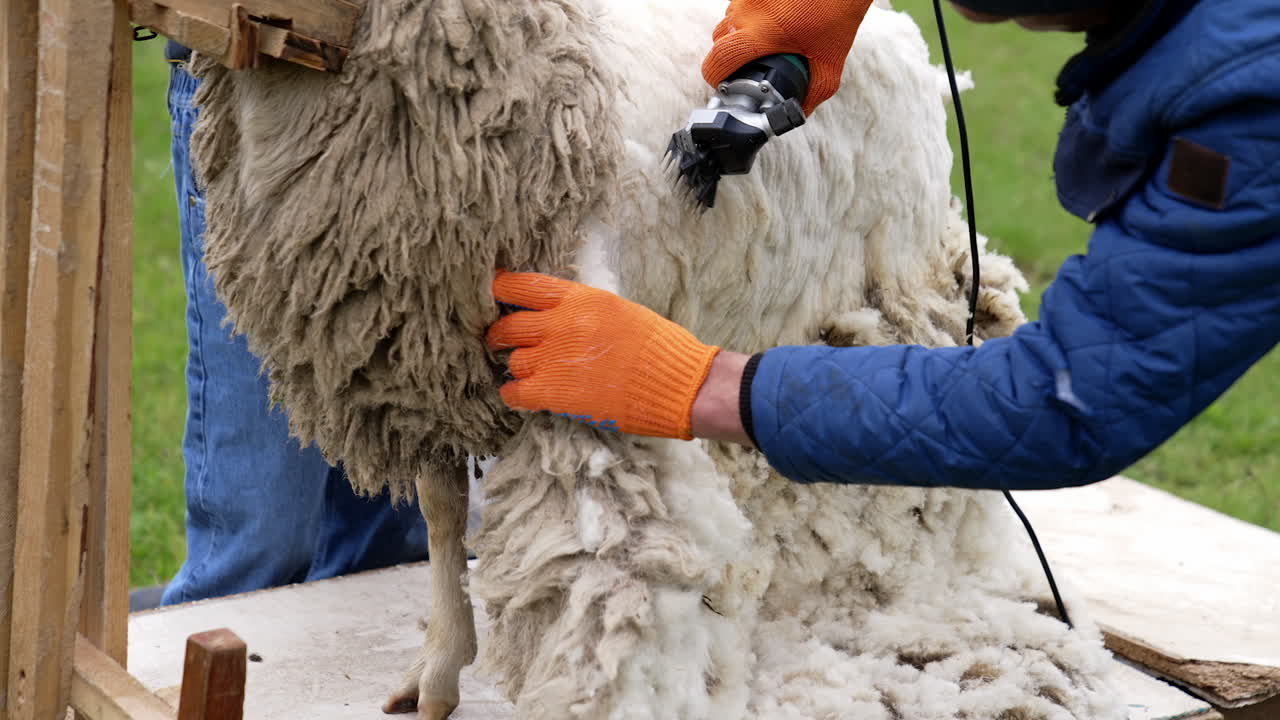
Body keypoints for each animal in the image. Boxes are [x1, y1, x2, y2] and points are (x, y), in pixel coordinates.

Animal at [188, 0, 1127, 718]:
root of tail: (908, 41)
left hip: (894, 290)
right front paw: (438, 671)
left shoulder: (562, 363)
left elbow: (601, 572)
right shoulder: (420, 367)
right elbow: (444, 517)